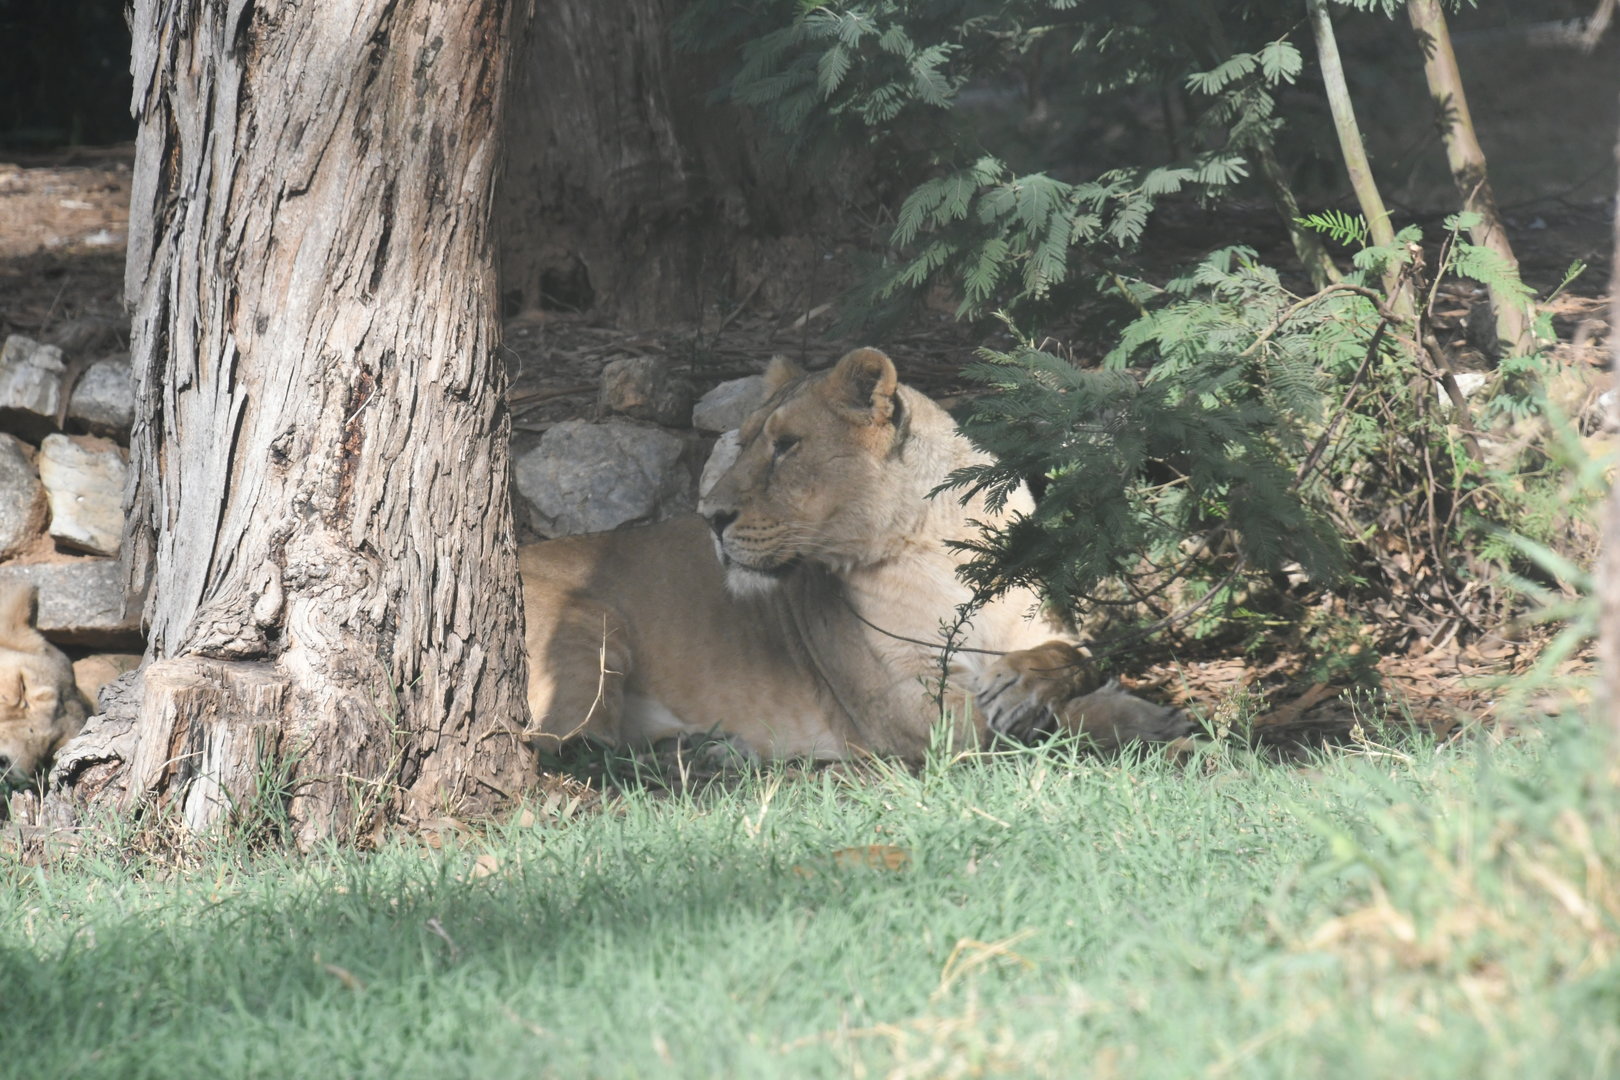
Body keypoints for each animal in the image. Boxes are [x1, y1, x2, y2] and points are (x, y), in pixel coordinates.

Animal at [519, 347, 1191, 760]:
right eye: (743, 443)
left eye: (786, 446)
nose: (710, 517)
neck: (936, 550)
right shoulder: (915, 710)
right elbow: (1048, 731)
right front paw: (1148, 724)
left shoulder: (1043, 628)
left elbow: (1075, 658)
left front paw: (1039, 688)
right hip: (590, 624)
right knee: (562, 747)